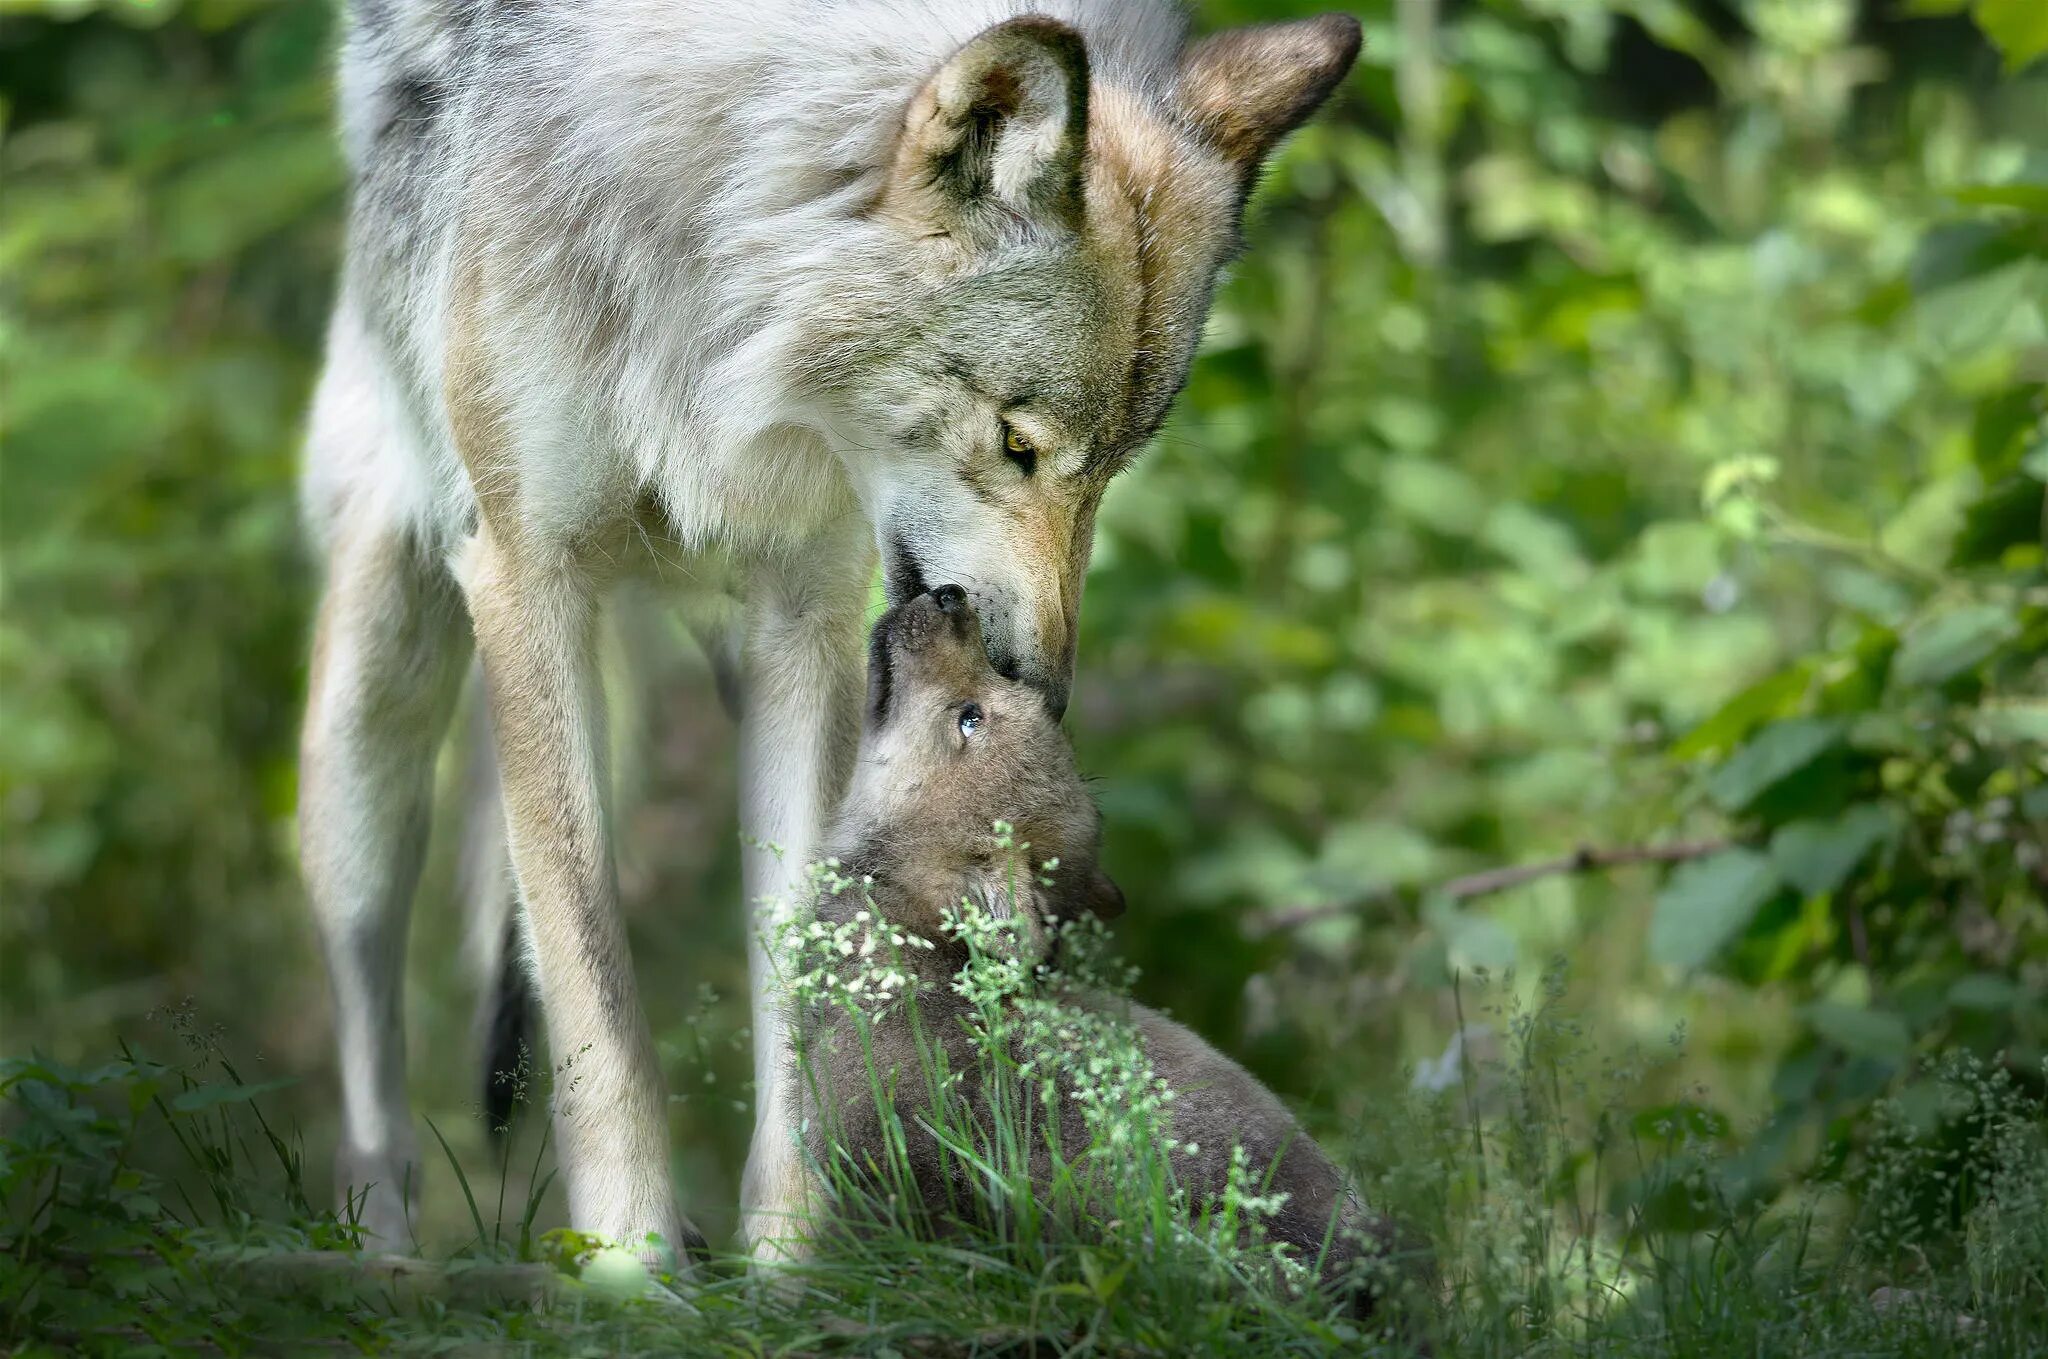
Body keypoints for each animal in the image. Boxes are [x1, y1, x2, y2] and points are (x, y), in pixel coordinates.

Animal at [299, 0, 1359, 1260]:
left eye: (1114, 464)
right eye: (1017, 444)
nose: (1042, 689)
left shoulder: (804, 619)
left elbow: (808, 982)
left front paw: (786, 1265)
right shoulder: (526, 581)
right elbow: (598, 1011)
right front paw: (635, 1271)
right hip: (375, 714)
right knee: (371, 1059)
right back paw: (384, 1261)